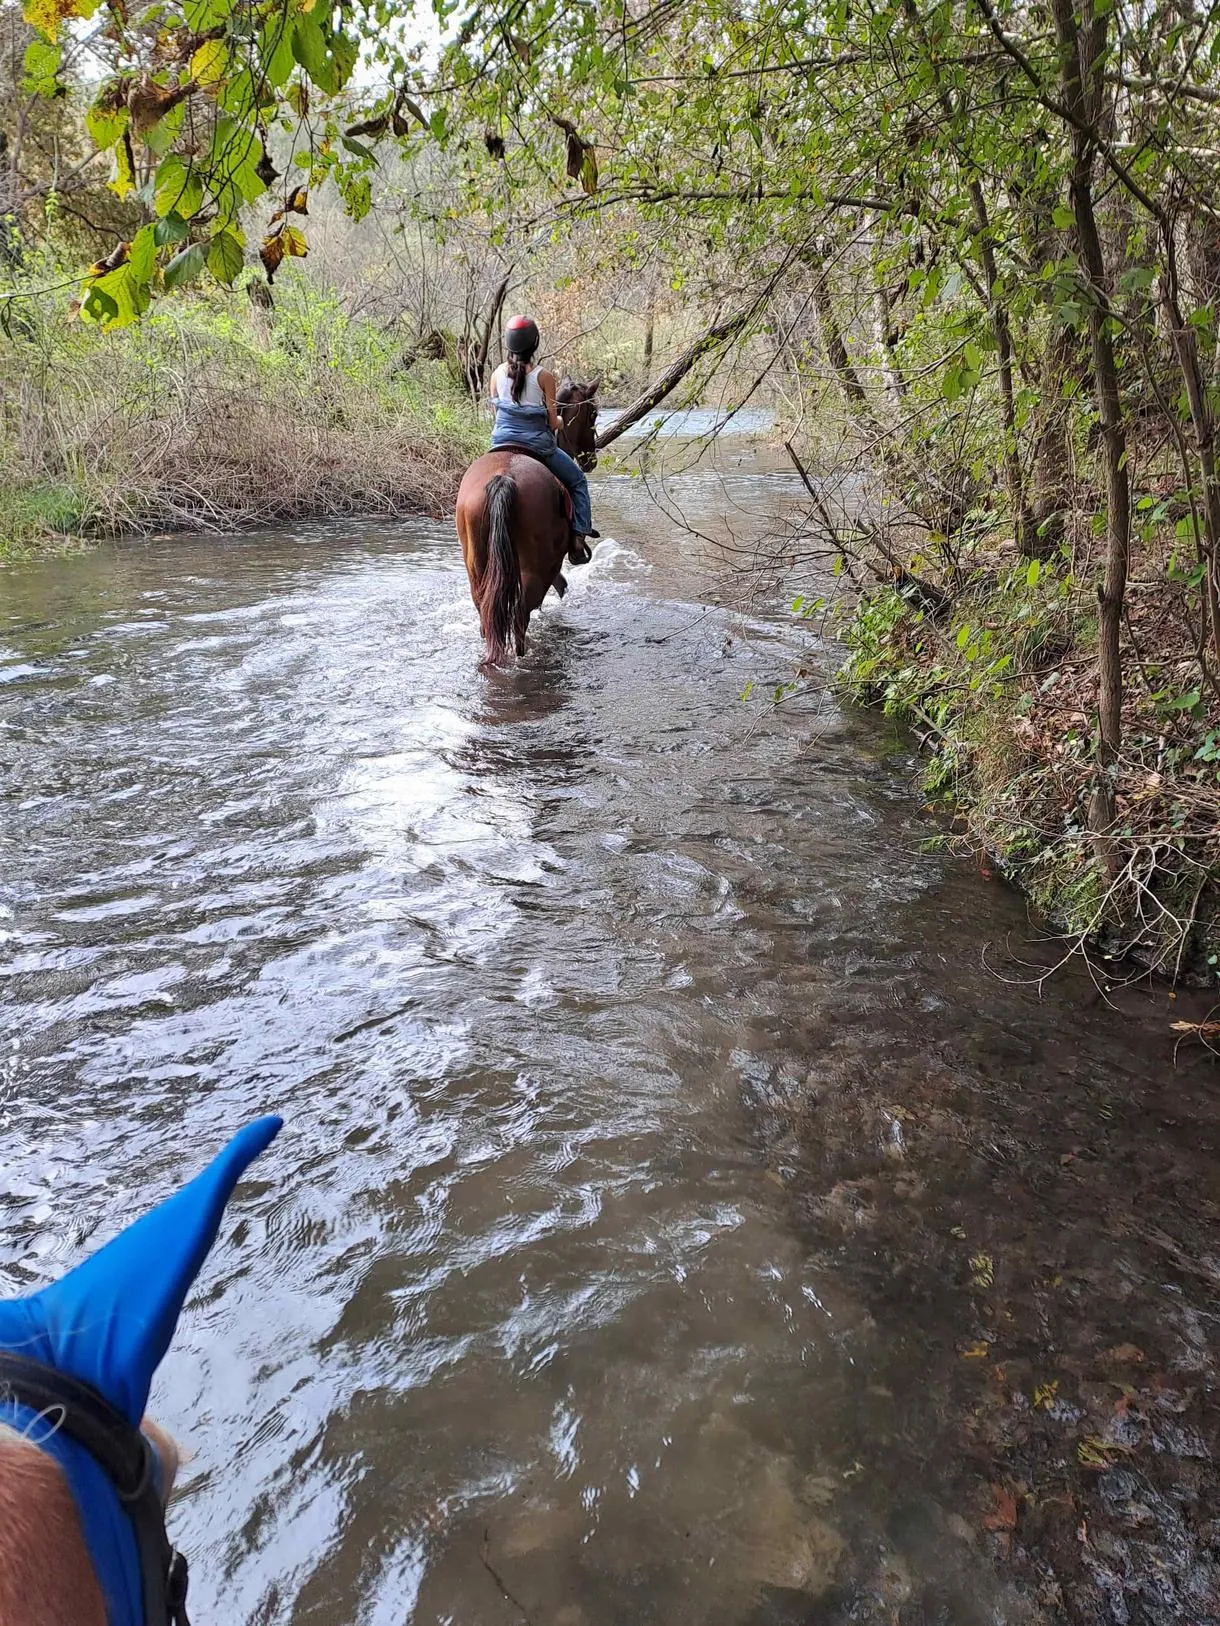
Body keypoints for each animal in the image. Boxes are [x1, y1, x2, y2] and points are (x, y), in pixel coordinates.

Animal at [455, 377, 600, 667]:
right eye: (593, 414)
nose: (591, 460)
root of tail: (503, 477)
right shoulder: (553, 565)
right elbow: (561, 586)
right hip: (535, 570)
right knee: (521, 616)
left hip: (477, 567)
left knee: (486, 613)